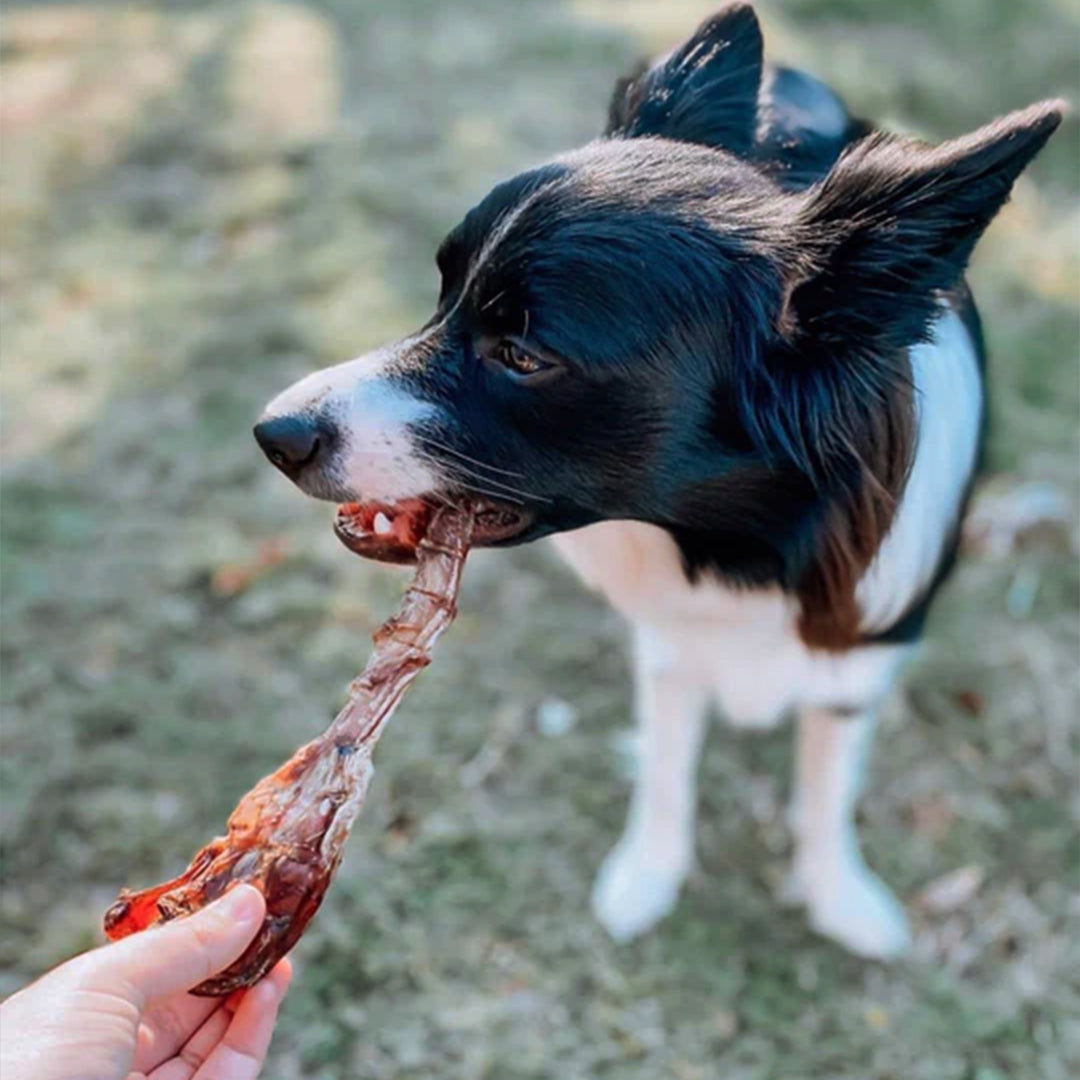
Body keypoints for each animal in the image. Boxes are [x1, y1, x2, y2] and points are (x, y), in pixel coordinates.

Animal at [252, 6, 1062, 954]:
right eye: (442, 292)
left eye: (522, 355)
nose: (272, 432)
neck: (745, 547)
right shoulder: (674, 643)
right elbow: (672, 755)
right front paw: (650, 871)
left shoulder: (861, 651)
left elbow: (828, 779)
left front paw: (838, 894)